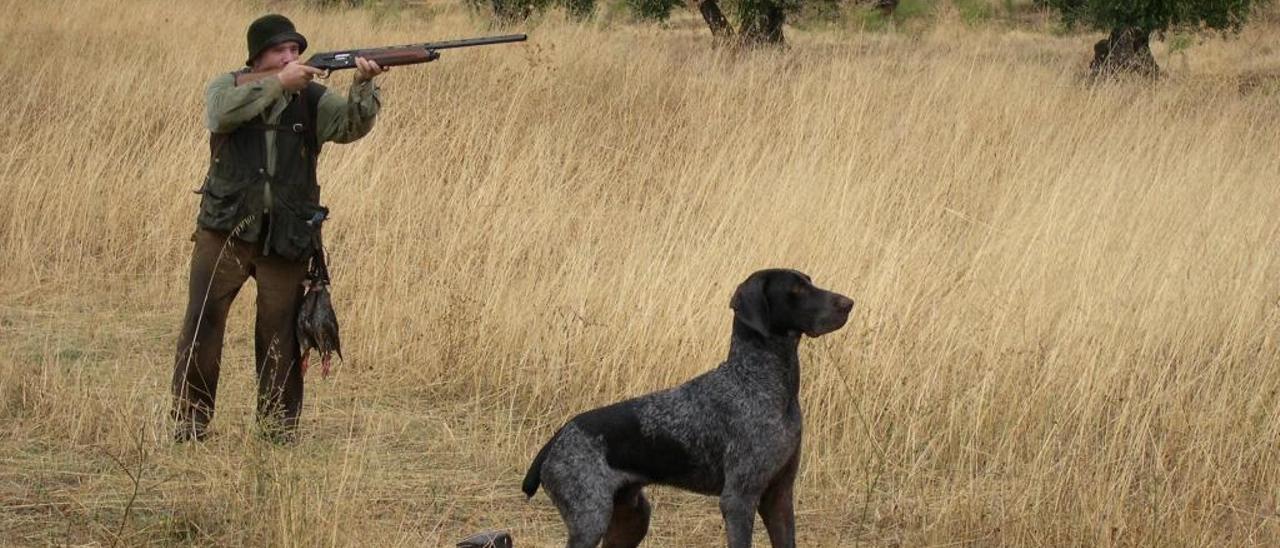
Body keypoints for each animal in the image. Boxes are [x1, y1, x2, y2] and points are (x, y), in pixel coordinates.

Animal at [524, 270, 855, 548]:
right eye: (796, 289)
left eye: (809, 281)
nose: (849, 303)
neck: (759, 381)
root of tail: (557, 439)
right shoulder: (739, 499)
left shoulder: (779, 498)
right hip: (590, 519)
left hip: (632, 518)